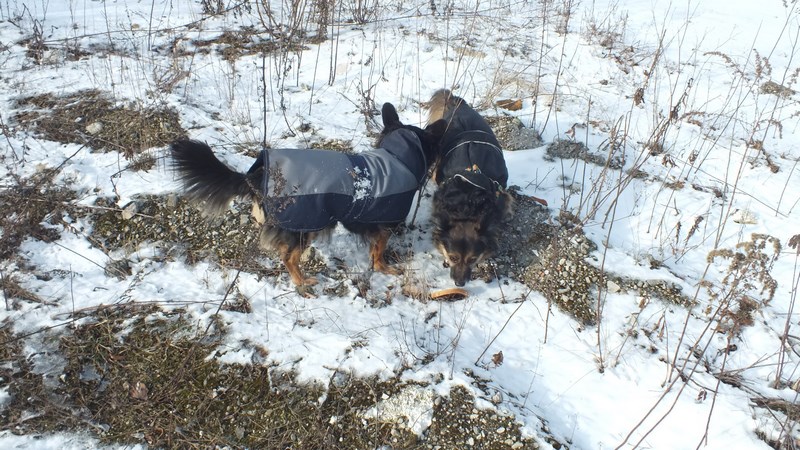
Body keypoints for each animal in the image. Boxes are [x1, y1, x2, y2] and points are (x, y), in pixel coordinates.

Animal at [171, 103, 446, 287]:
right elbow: (378, 253)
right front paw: (385, 269)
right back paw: (302, 282)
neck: (397, 158)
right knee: (288, 258)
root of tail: (257, 176)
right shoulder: (383, 227)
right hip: (306, 225)